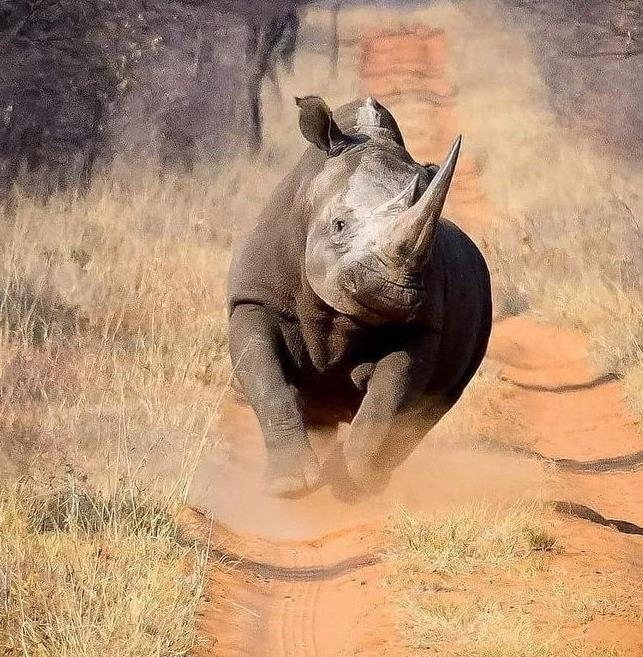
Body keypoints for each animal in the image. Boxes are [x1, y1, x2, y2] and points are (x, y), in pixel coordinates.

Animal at [228, 96, 491, 497]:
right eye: (338, 225)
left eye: (428, 254)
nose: (392, 291)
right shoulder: (254, 298)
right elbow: (265, 379)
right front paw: (290, 484)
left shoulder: (419, 327)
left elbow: (387, 400)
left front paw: (352, 483)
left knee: (424, 415)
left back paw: (369, 478)